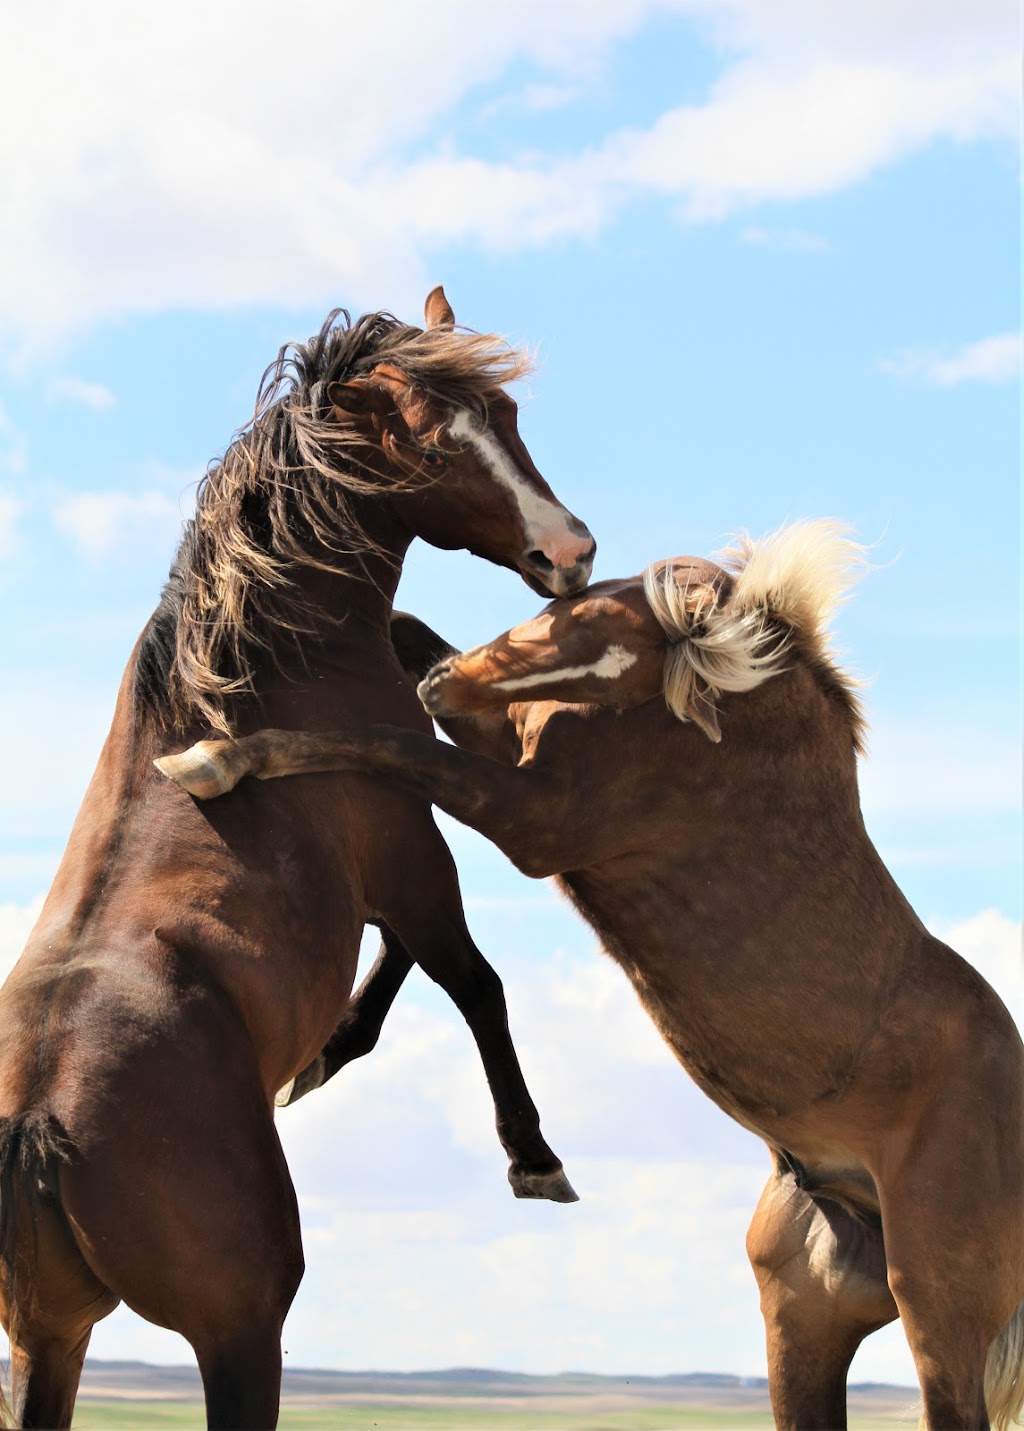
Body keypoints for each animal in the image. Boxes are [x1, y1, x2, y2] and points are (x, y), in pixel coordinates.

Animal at [0, 287, 592, 1431]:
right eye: (433, 444)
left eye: (504, 413)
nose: (571, 552)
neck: (267, 664)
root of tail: (41, 1129)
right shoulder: (407, 846)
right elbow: (472, 979)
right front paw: (532, 1157)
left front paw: (327, 1053)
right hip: (240, 1328)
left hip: (50, 1335)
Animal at [160, 523, 1024, 1431]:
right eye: (564, 609)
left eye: (613, 649)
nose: (447, 683)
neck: (714, 724)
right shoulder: (505, 742)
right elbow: (402, 678)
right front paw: (337, 1043)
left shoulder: (532, 816)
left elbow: (386, 748)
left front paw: (212, 759)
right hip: (805, 1313)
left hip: (941, 1320)